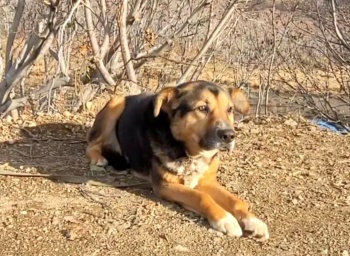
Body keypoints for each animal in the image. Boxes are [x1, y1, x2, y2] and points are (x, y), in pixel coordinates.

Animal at [86, 80, 270, 240]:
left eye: (230, 109)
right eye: (202, 108)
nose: (229, 135)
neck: (190, 153)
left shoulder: (207, 181)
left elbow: (236, 201)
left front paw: (253, 221)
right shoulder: (165, 185)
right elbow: (201, 196)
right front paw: (226, 219)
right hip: (115, 103)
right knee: (91, 143)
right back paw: (98, 158)